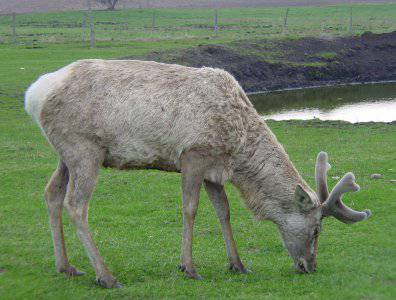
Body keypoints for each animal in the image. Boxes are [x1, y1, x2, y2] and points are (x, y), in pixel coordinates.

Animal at [24, 59, 372, 288]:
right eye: (316, 230)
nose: (309, 266)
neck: (237, 149)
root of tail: (33, 95)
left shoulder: (214, 168)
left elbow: (224, 211)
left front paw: (238, 264)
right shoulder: (193, 153)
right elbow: (190, 209)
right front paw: (188, 267)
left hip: (65, 154)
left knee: (51, 193)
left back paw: (66, 266)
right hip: (84, 148)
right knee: (76, 205)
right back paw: (106, 276)